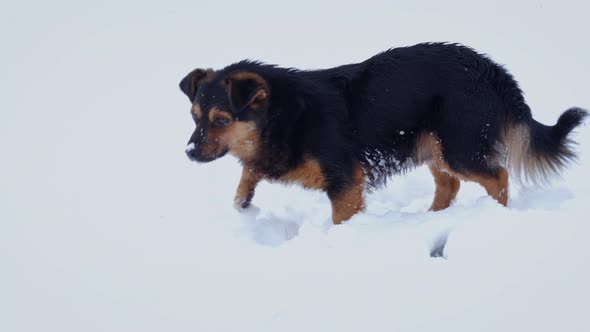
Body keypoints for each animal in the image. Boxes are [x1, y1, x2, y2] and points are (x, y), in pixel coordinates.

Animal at [179, 41, 588, 223]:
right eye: (195, 116)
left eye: (221, 120)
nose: (189, 153)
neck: (284, 114)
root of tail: (492, 70)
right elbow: (246, 177)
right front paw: (243, 204)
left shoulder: (346, 180)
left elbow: (341, 216)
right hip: (433, 143)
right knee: (449, 184)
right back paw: (430, 219)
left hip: (459, 145)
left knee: (497, 176)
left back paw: (496, 216)